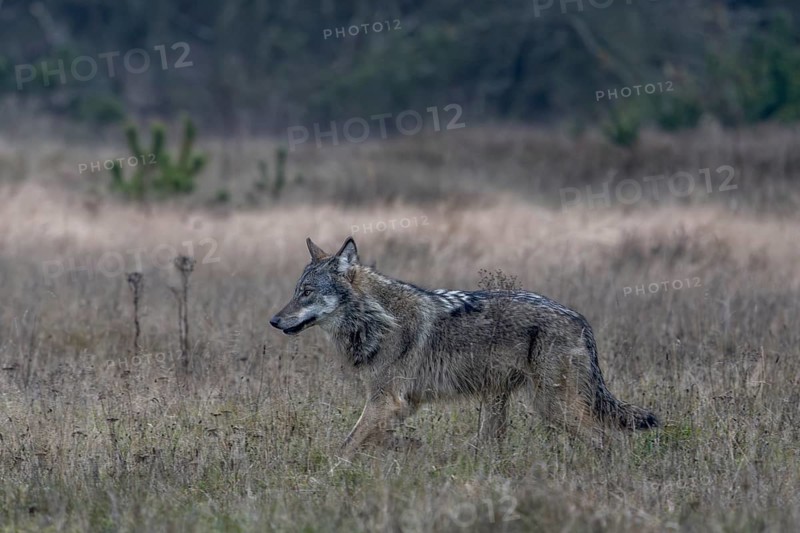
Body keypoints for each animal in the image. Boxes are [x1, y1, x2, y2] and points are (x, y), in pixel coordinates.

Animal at [270, 237, 658, 453]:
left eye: (306, 292)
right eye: (296, 291)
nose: (274, 320)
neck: (377, 318)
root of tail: (581, 321)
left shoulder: (386, 401)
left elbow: (345, 446)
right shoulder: (401, 405)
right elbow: (370, 440)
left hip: (551, 405)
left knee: (604, 439)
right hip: (503, 401)